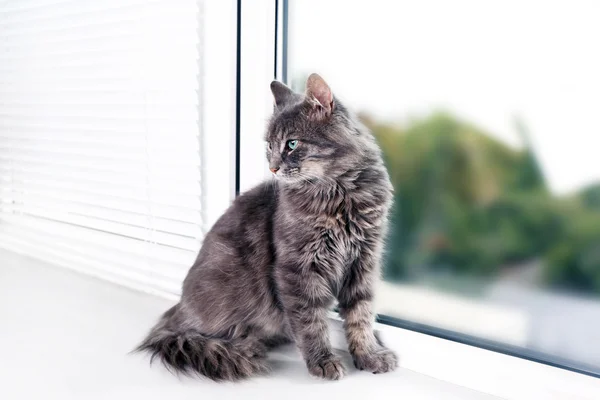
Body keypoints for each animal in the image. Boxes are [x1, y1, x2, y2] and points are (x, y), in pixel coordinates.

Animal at [137, 72, 398, 382]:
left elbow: (361, 315)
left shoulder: (364, 261)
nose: (273, 167)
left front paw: (369, 355)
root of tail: (176, 310)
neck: (339, 194)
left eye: (292, 144)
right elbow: (311, 322)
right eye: (269, 146)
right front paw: (323, 361)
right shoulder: (297, 268)